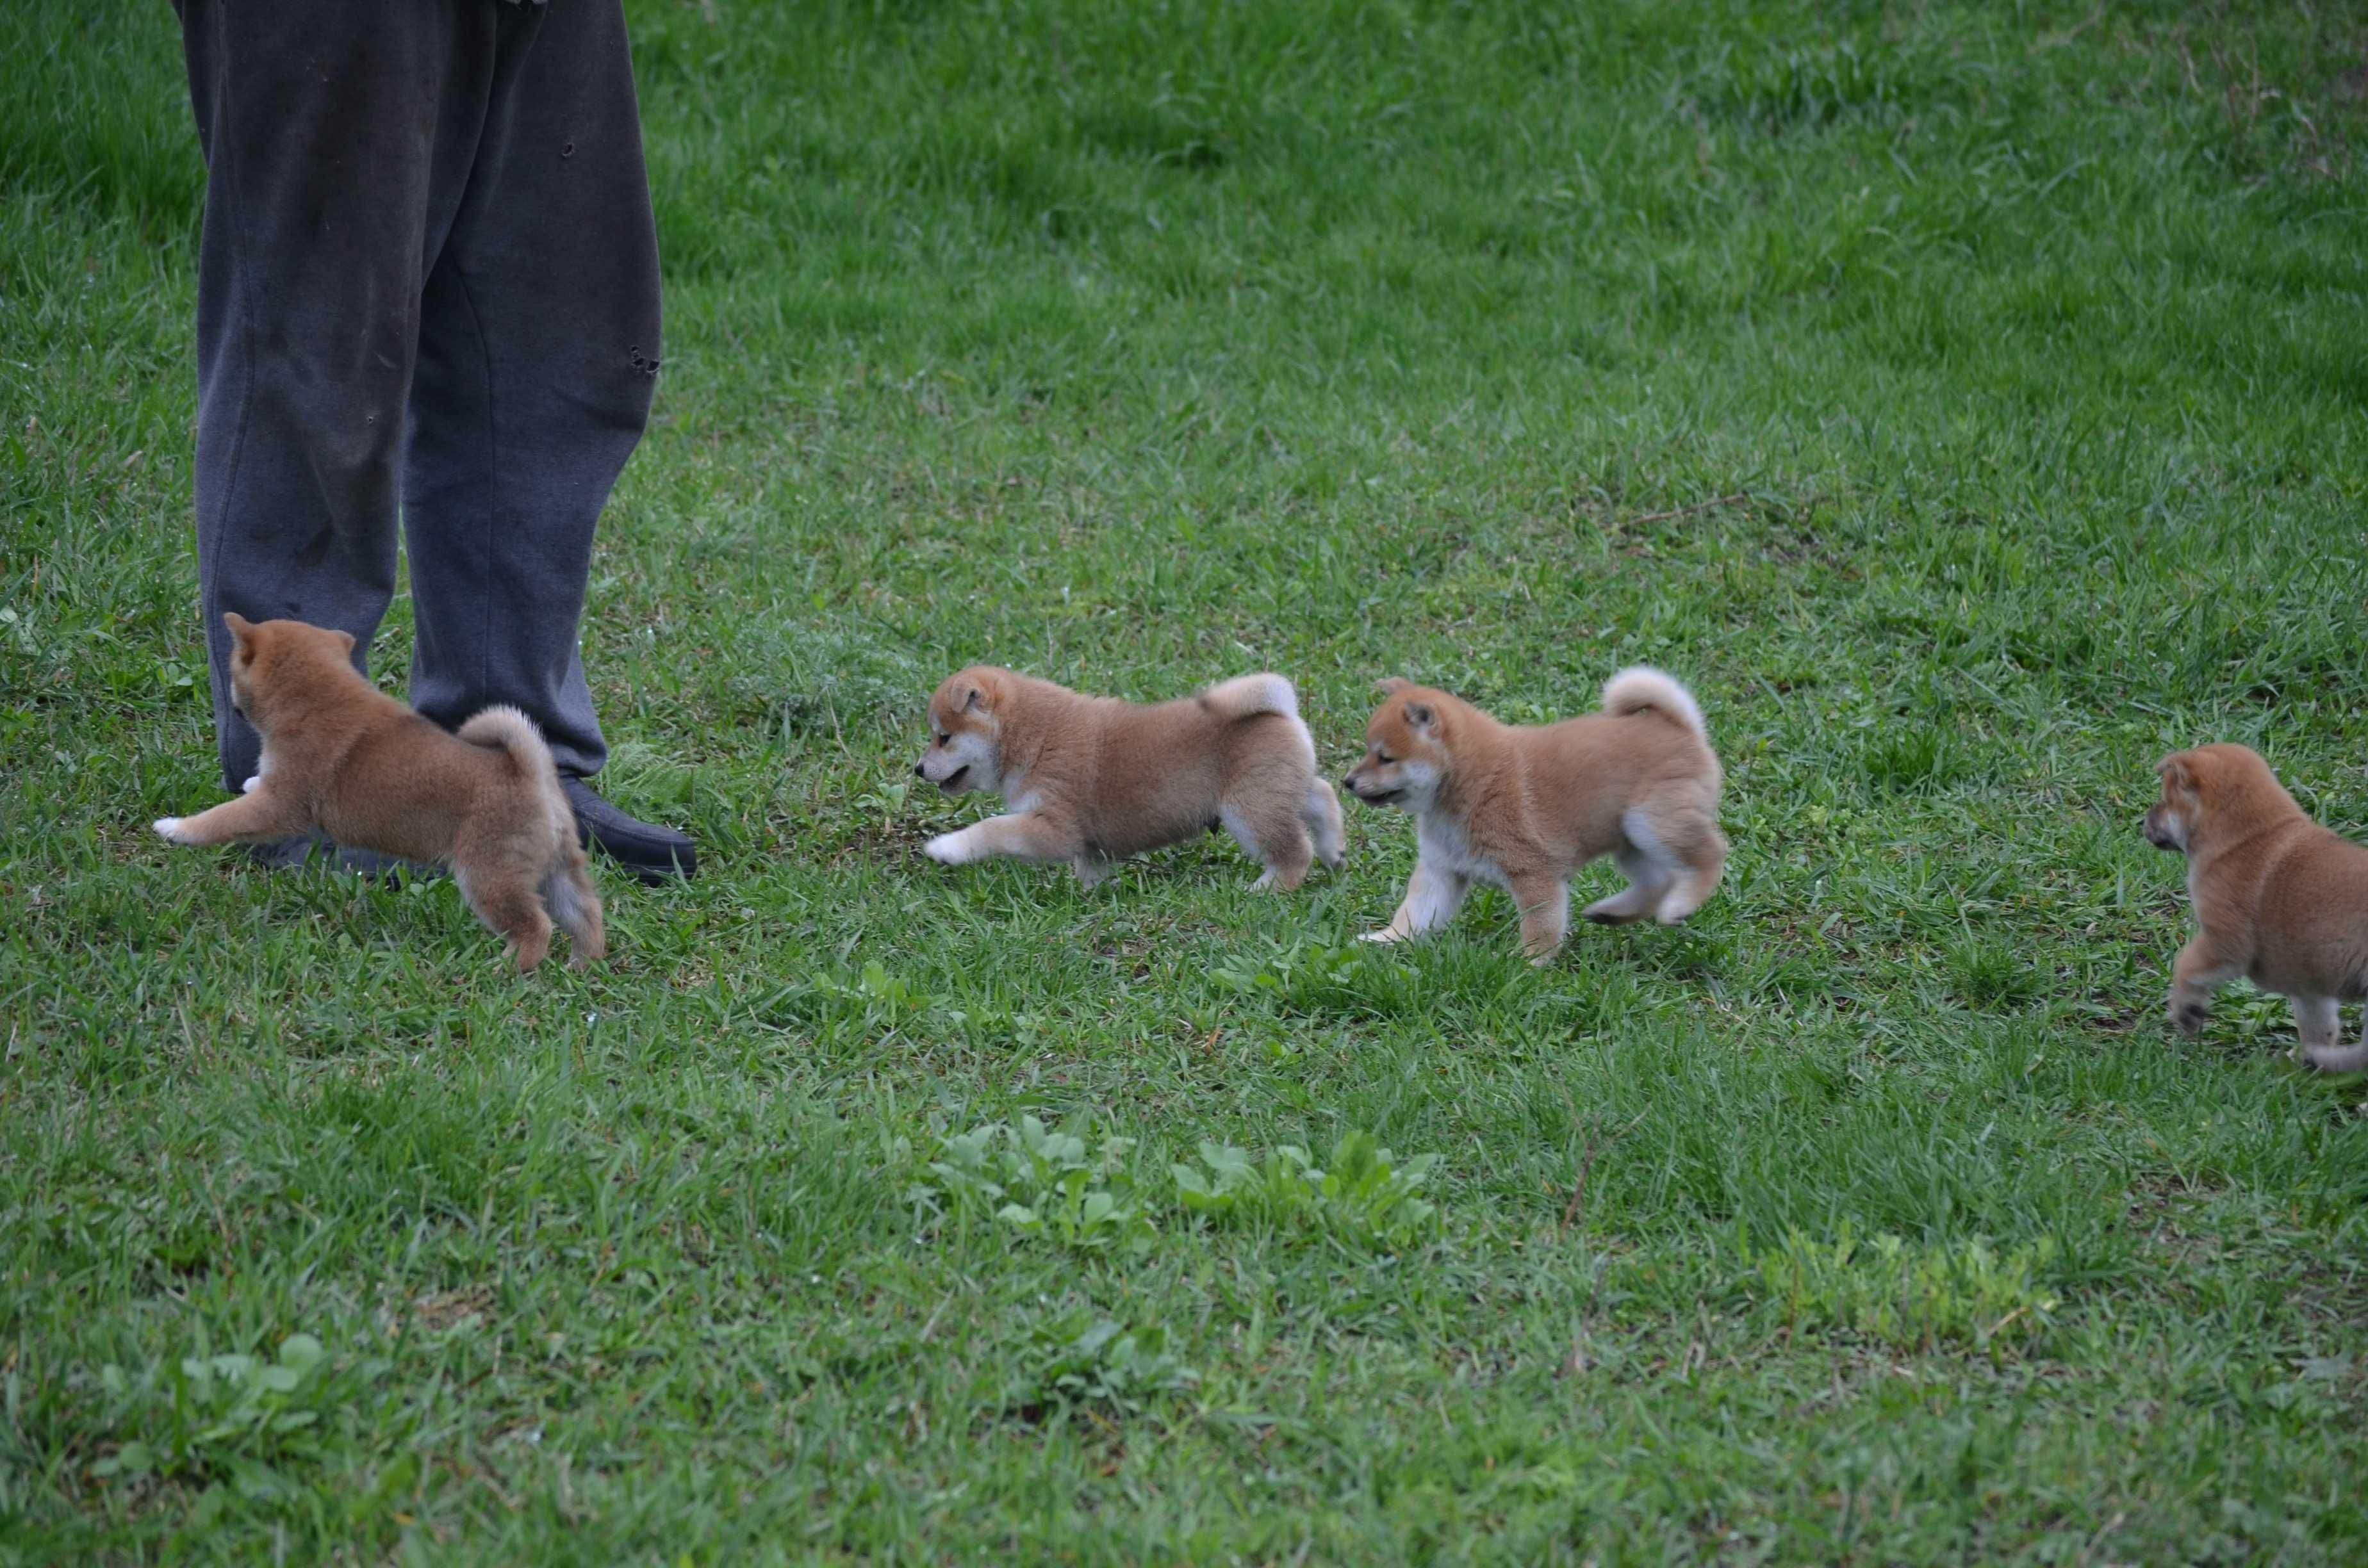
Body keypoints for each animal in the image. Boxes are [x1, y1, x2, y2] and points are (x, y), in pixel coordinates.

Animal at [154, 611, 606, 971]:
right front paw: (247, 782)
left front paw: (177, 829)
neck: (315, 699)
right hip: (558, 869)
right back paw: (582, 964)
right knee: (585, 913)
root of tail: (530, 775)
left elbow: (223, 818)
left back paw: (509, 969)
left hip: (489, 875)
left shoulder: (283, 803)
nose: (230, 702)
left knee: (536, 925)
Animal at [909, 663, 1345, 890]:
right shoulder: (1087, 843)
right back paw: (1334, 851)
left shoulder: (1055, 826)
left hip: (1250, 809)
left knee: (1294, 852)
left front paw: (948, 848)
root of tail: (1280, 710)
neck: (1032, 735)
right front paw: (1090, 895)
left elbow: (993, 829)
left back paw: (1266, 889)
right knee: (1322, 794)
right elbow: (1090, 871)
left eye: (943, 738)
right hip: (1279, 789)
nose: (918, 769)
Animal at [1345, 667, 1733, 966]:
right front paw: (1386, 940)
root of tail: (1679, 727)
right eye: (1369, 752)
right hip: (1631, 839)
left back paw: (1680, 905)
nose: (1347, 781)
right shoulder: (1441, 871)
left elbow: (1540, 927)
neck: (1464, 786)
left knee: (1711, 854)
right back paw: (1613, 913)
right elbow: (1415, 914)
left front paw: (1528, 963)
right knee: (1658, 881)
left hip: (1652, 822)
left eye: (1385, 758)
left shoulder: (1532, 872)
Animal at [2150, 744, 2368, 1075]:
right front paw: (2305, 1064)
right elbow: (2319, 1027)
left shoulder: (2225, 941)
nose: (2146, 818)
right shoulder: (2310, 988)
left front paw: (2186, 1010)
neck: (2250, 836)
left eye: (2164, 801)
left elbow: (2185, 966)